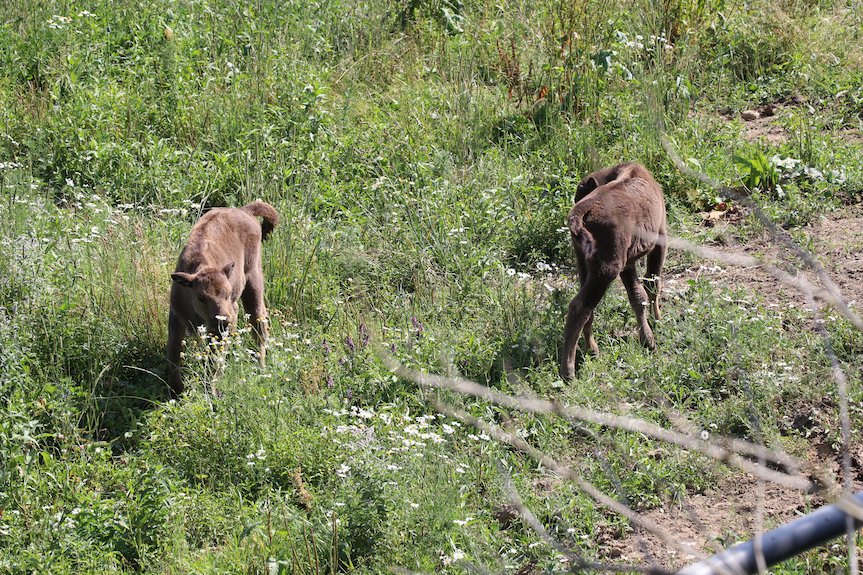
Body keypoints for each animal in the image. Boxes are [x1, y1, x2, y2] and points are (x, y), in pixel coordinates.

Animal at [167, 201, 278, 396]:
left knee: (259, 325)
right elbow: (174, 352)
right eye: (201, 297)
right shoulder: (176, 317)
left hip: (254, 284)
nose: (224, 320)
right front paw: (176, 389)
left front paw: (210, 390)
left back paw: (261, 368)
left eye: (228, 293)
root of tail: (244, 211)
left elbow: (214, 360)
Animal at [560, 162, 668, 382]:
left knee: (587, 309)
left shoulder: (627, 263)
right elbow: (652, 284)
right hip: (607, 269)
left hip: (586, 265)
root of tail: (580, 215)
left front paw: (647, 339)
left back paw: (592, 350)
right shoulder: (660, 239)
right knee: (579, 307)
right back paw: (569, 373)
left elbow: (637, 297)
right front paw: (657, 323)